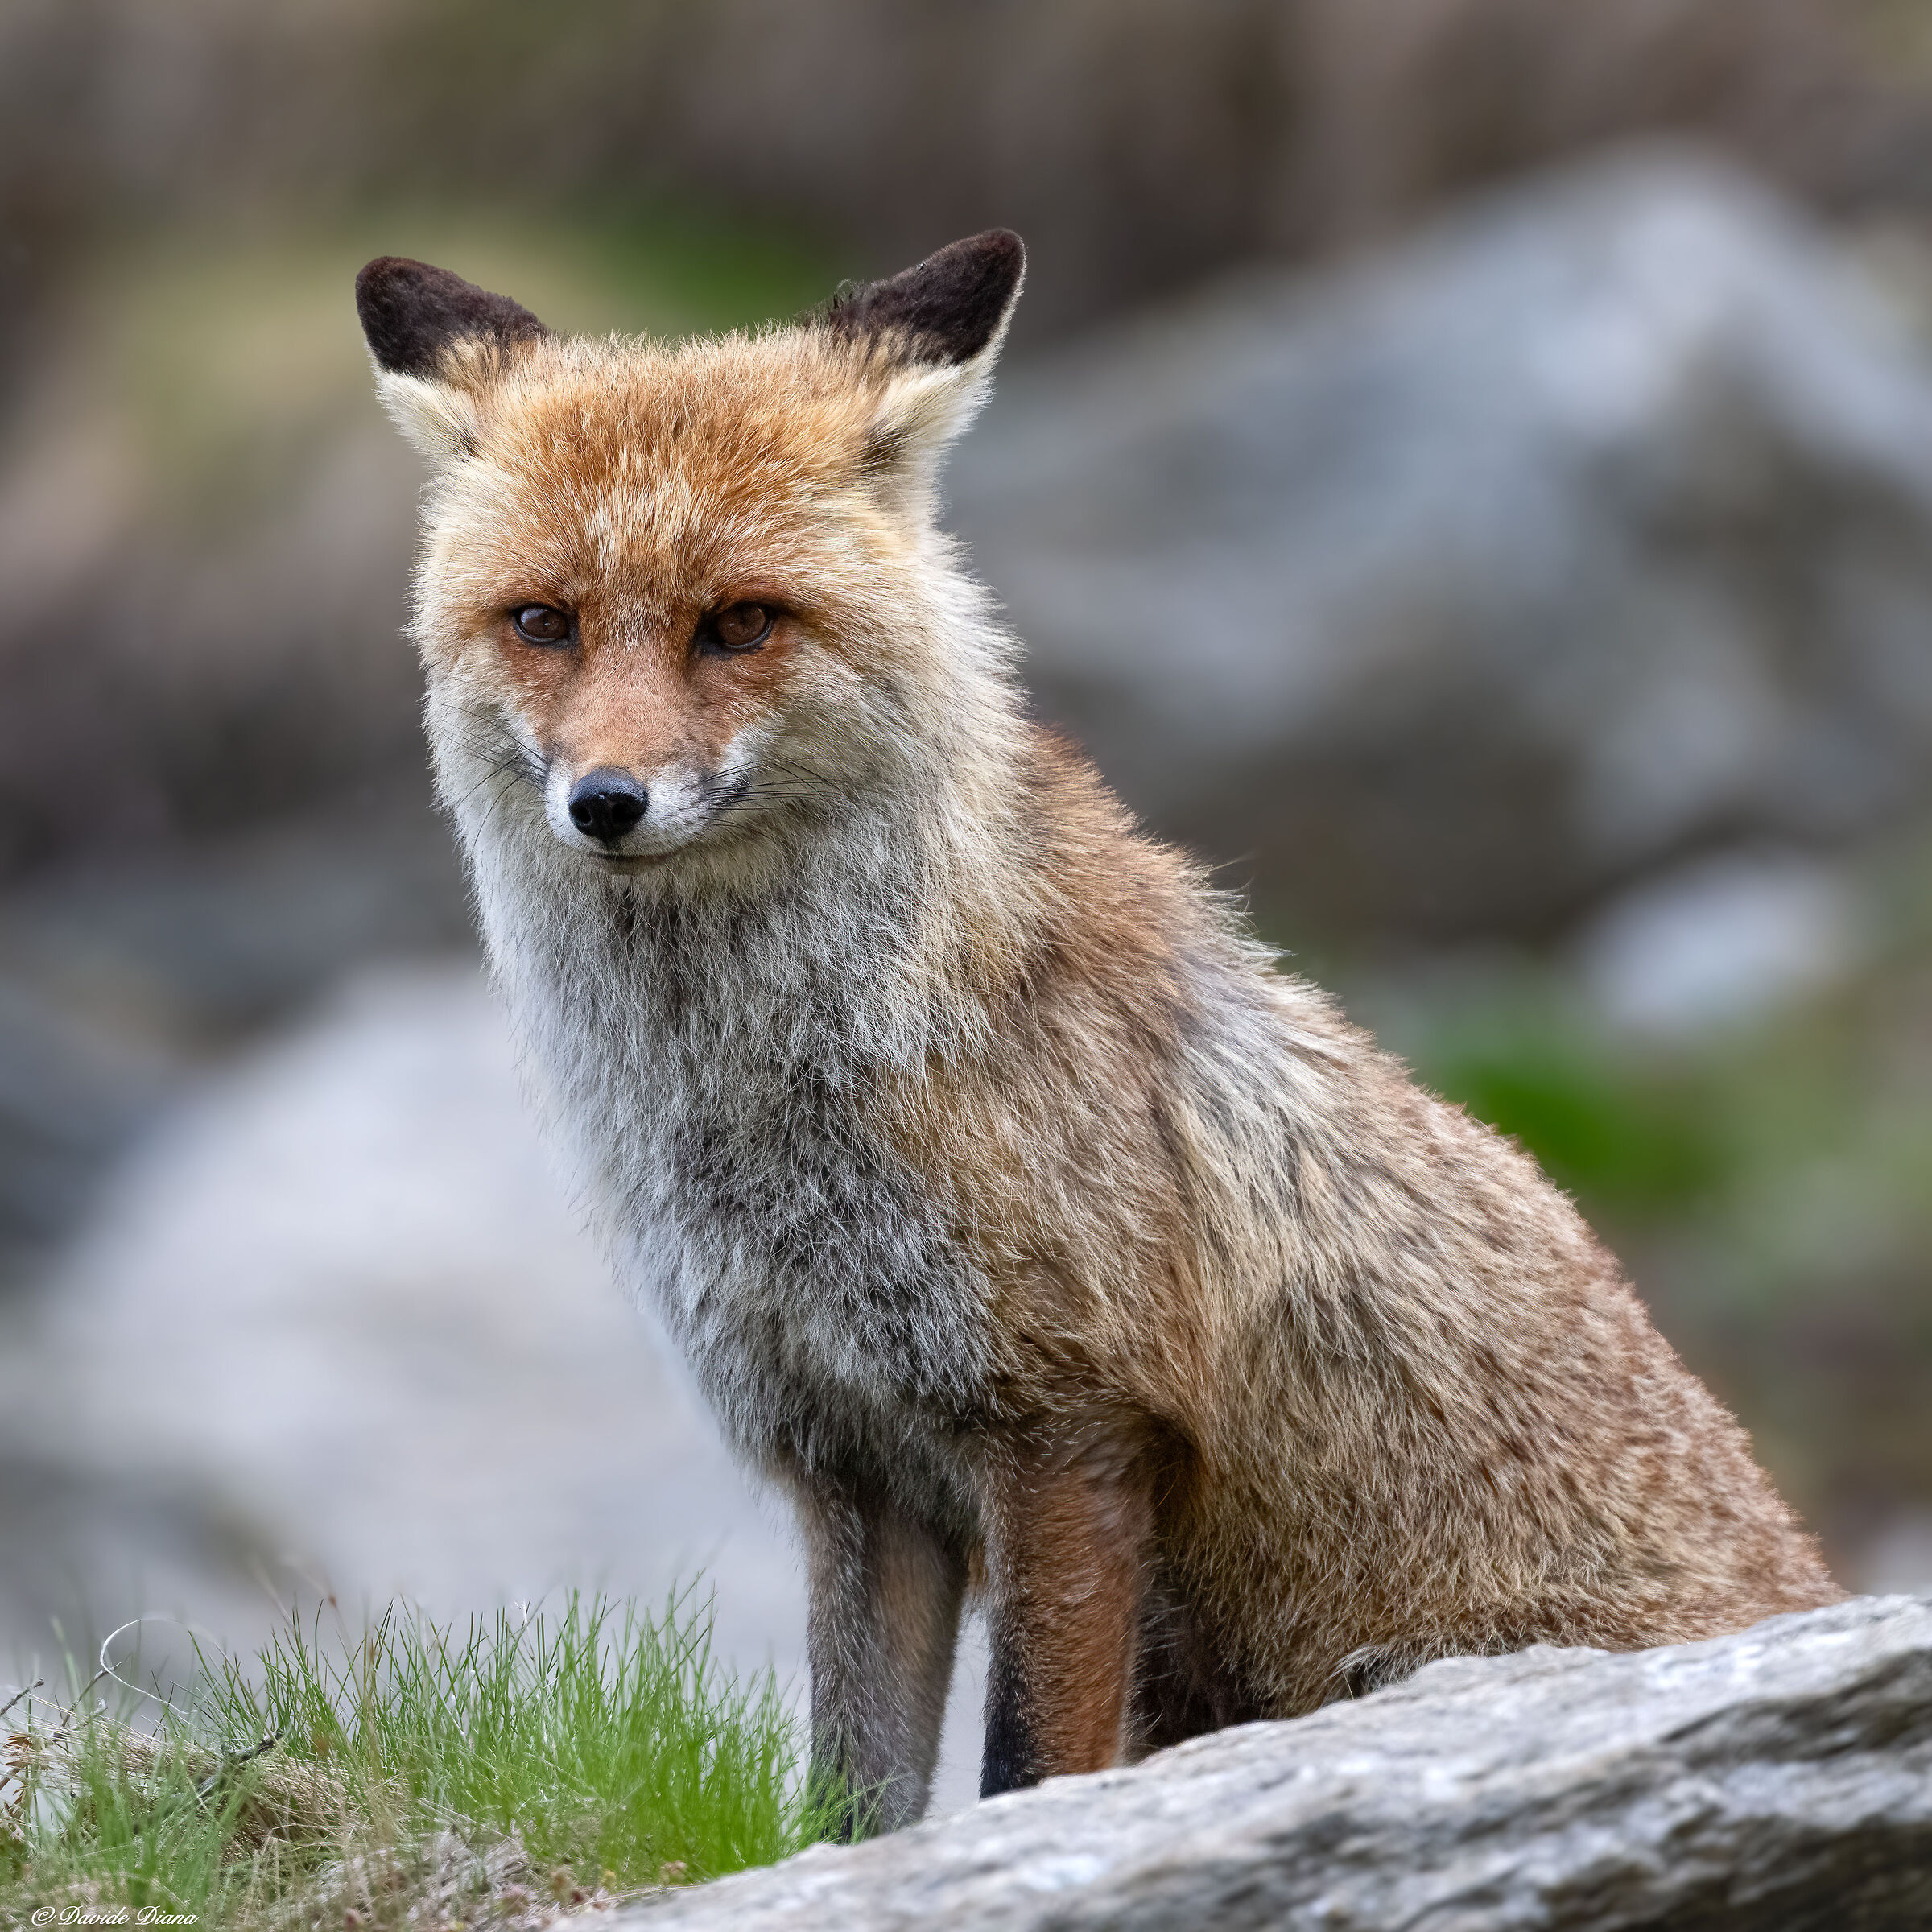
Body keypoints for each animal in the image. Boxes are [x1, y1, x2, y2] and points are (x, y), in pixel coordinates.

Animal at [355, 229, 1842, 1832]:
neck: (774, 1106)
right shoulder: (852, 1466)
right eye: (544, 622)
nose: (608, 803)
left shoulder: (1069, 1432)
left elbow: (1024, 1772)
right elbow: (854, 1801)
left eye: (740, 622)